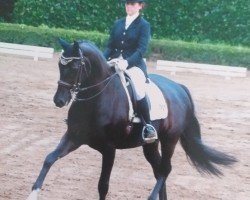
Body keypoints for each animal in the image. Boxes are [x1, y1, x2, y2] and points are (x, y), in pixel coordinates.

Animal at [26, 39, 236, 200]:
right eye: (60, 65)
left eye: (76, 66)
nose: (59, 100)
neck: (97, 99)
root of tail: (179, 87)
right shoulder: (74, 137)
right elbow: (49, 158)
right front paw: (33, 193)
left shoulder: (109, 149)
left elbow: (103, 185)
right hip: (150, 144)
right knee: (159, 170)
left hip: (170, 139)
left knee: (165, 169)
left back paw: (151, 197)